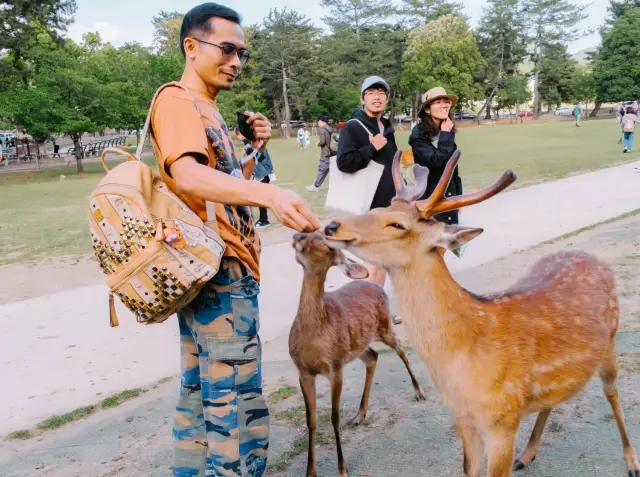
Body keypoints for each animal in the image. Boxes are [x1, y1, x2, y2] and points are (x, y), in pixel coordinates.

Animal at [288, 229, 424, 474]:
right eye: (309, 232)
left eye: (326, 242)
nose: (298, 235)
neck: (313, 337)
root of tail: (377, 287)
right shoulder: (303, 370)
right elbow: (310, 420)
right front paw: (310, 471)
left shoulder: (335, 366)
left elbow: (333, 416)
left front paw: (342, 468)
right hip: (355, 344)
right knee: (372, 356)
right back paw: (360, 415)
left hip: (384, 326)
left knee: (402, 350)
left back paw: (419, 391)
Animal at [324, 151, 640, 476]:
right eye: (379, 207)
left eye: (397, 225)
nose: (332, 226)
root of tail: (595, 260)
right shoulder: (463, 419)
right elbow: (469, 469)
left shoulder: (503, 420)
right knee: (551, 399)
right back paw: (527, 454)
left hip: (610, 343)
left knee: (612, 393)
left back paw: (631, 461)